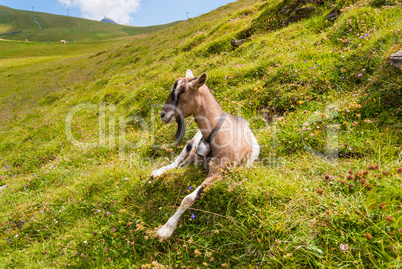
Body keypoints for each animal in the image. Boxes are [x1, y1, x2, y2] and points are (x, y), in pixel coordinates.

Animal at [152, 69, 260, 239]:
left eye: (181, 92)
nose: (163, 114)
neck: (218, 134)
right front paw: (166, 229)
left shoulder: (218, 172)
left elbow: (188, 198)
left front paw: (165, 230)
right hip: (191, 143)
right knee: (177, 161)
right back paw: (157, 173)